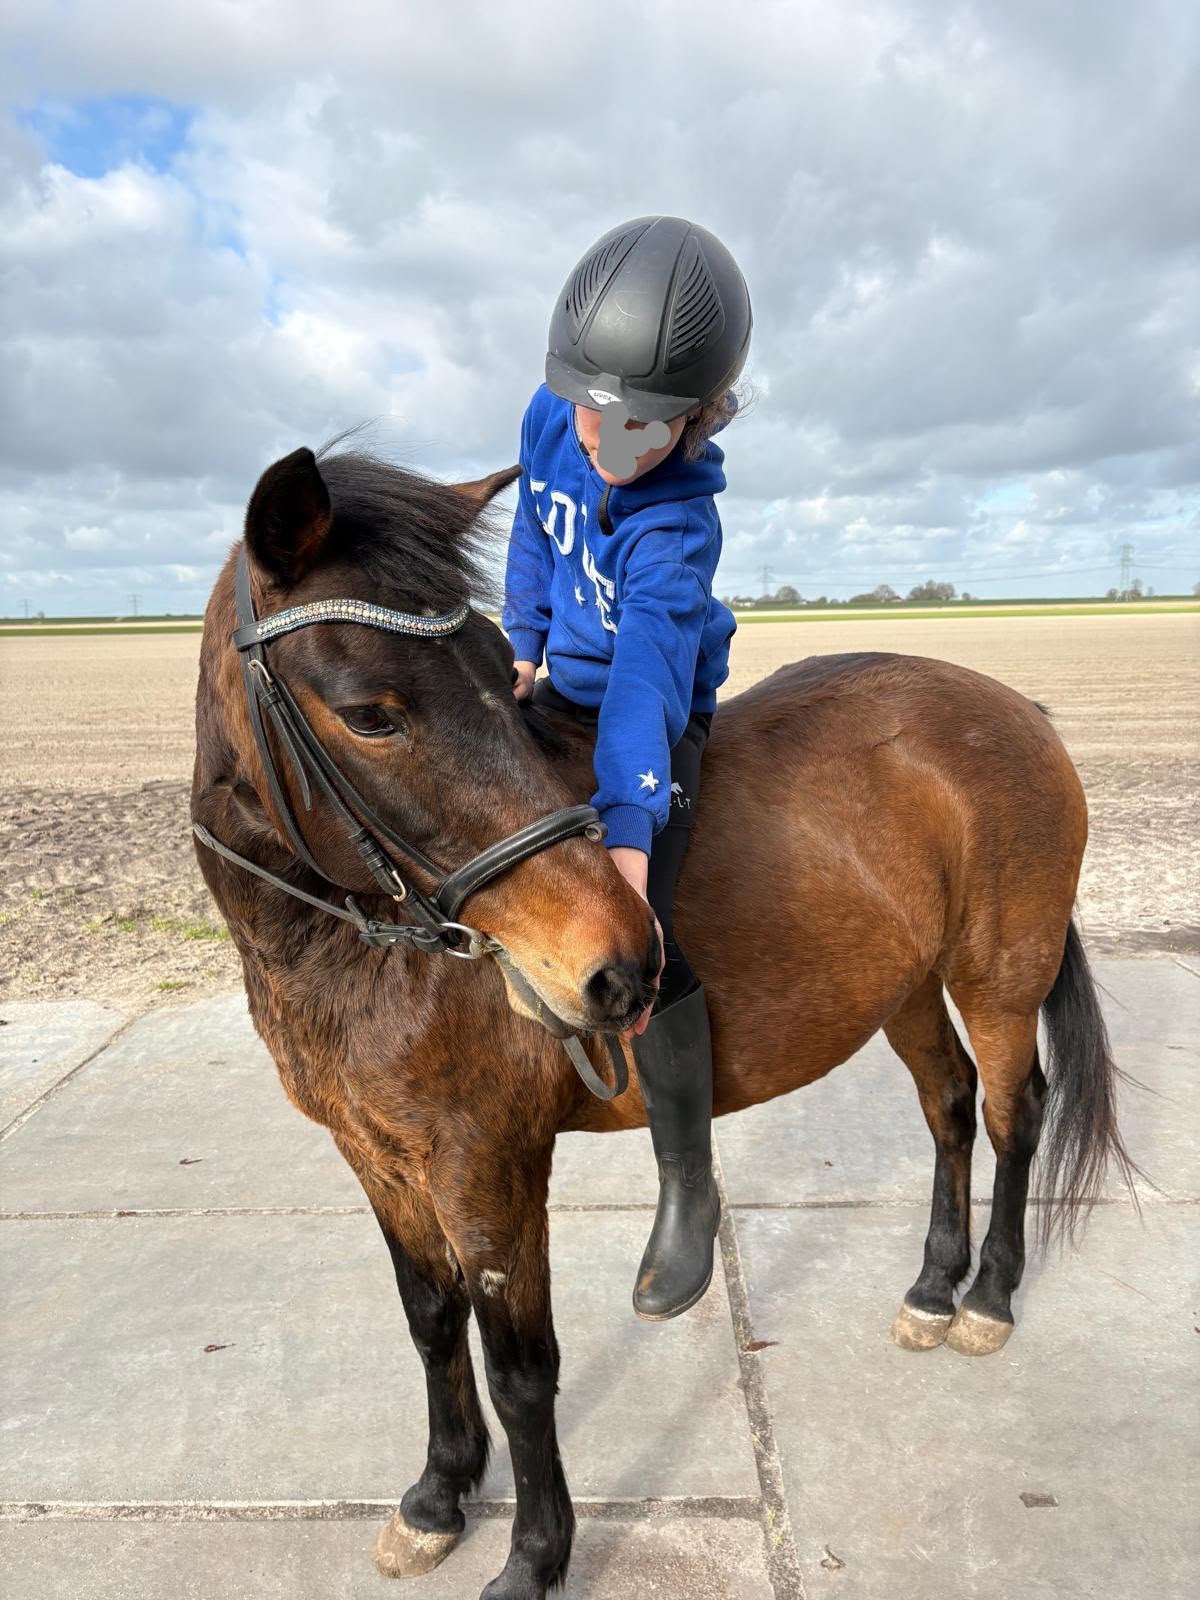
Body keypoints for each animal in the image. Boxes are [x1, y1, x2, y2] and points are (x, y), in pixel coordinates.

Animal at [191, 441, 1133, 1600]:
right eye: (371, 712)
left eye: (498, 678)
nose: (616, 962)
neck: (360, 946)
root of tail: (1017, 709)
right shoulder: (378, 1156)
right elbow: (429, 1321)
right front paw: (438, 1494)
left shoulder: (486, 1164)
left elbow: (519, 1365)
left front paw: (534, 1555)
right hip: (905, 984)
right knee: (949, 1106)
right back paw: (931, 1286)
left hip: (999, 969)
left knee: (1011, 1112)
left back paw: (989, 1299)